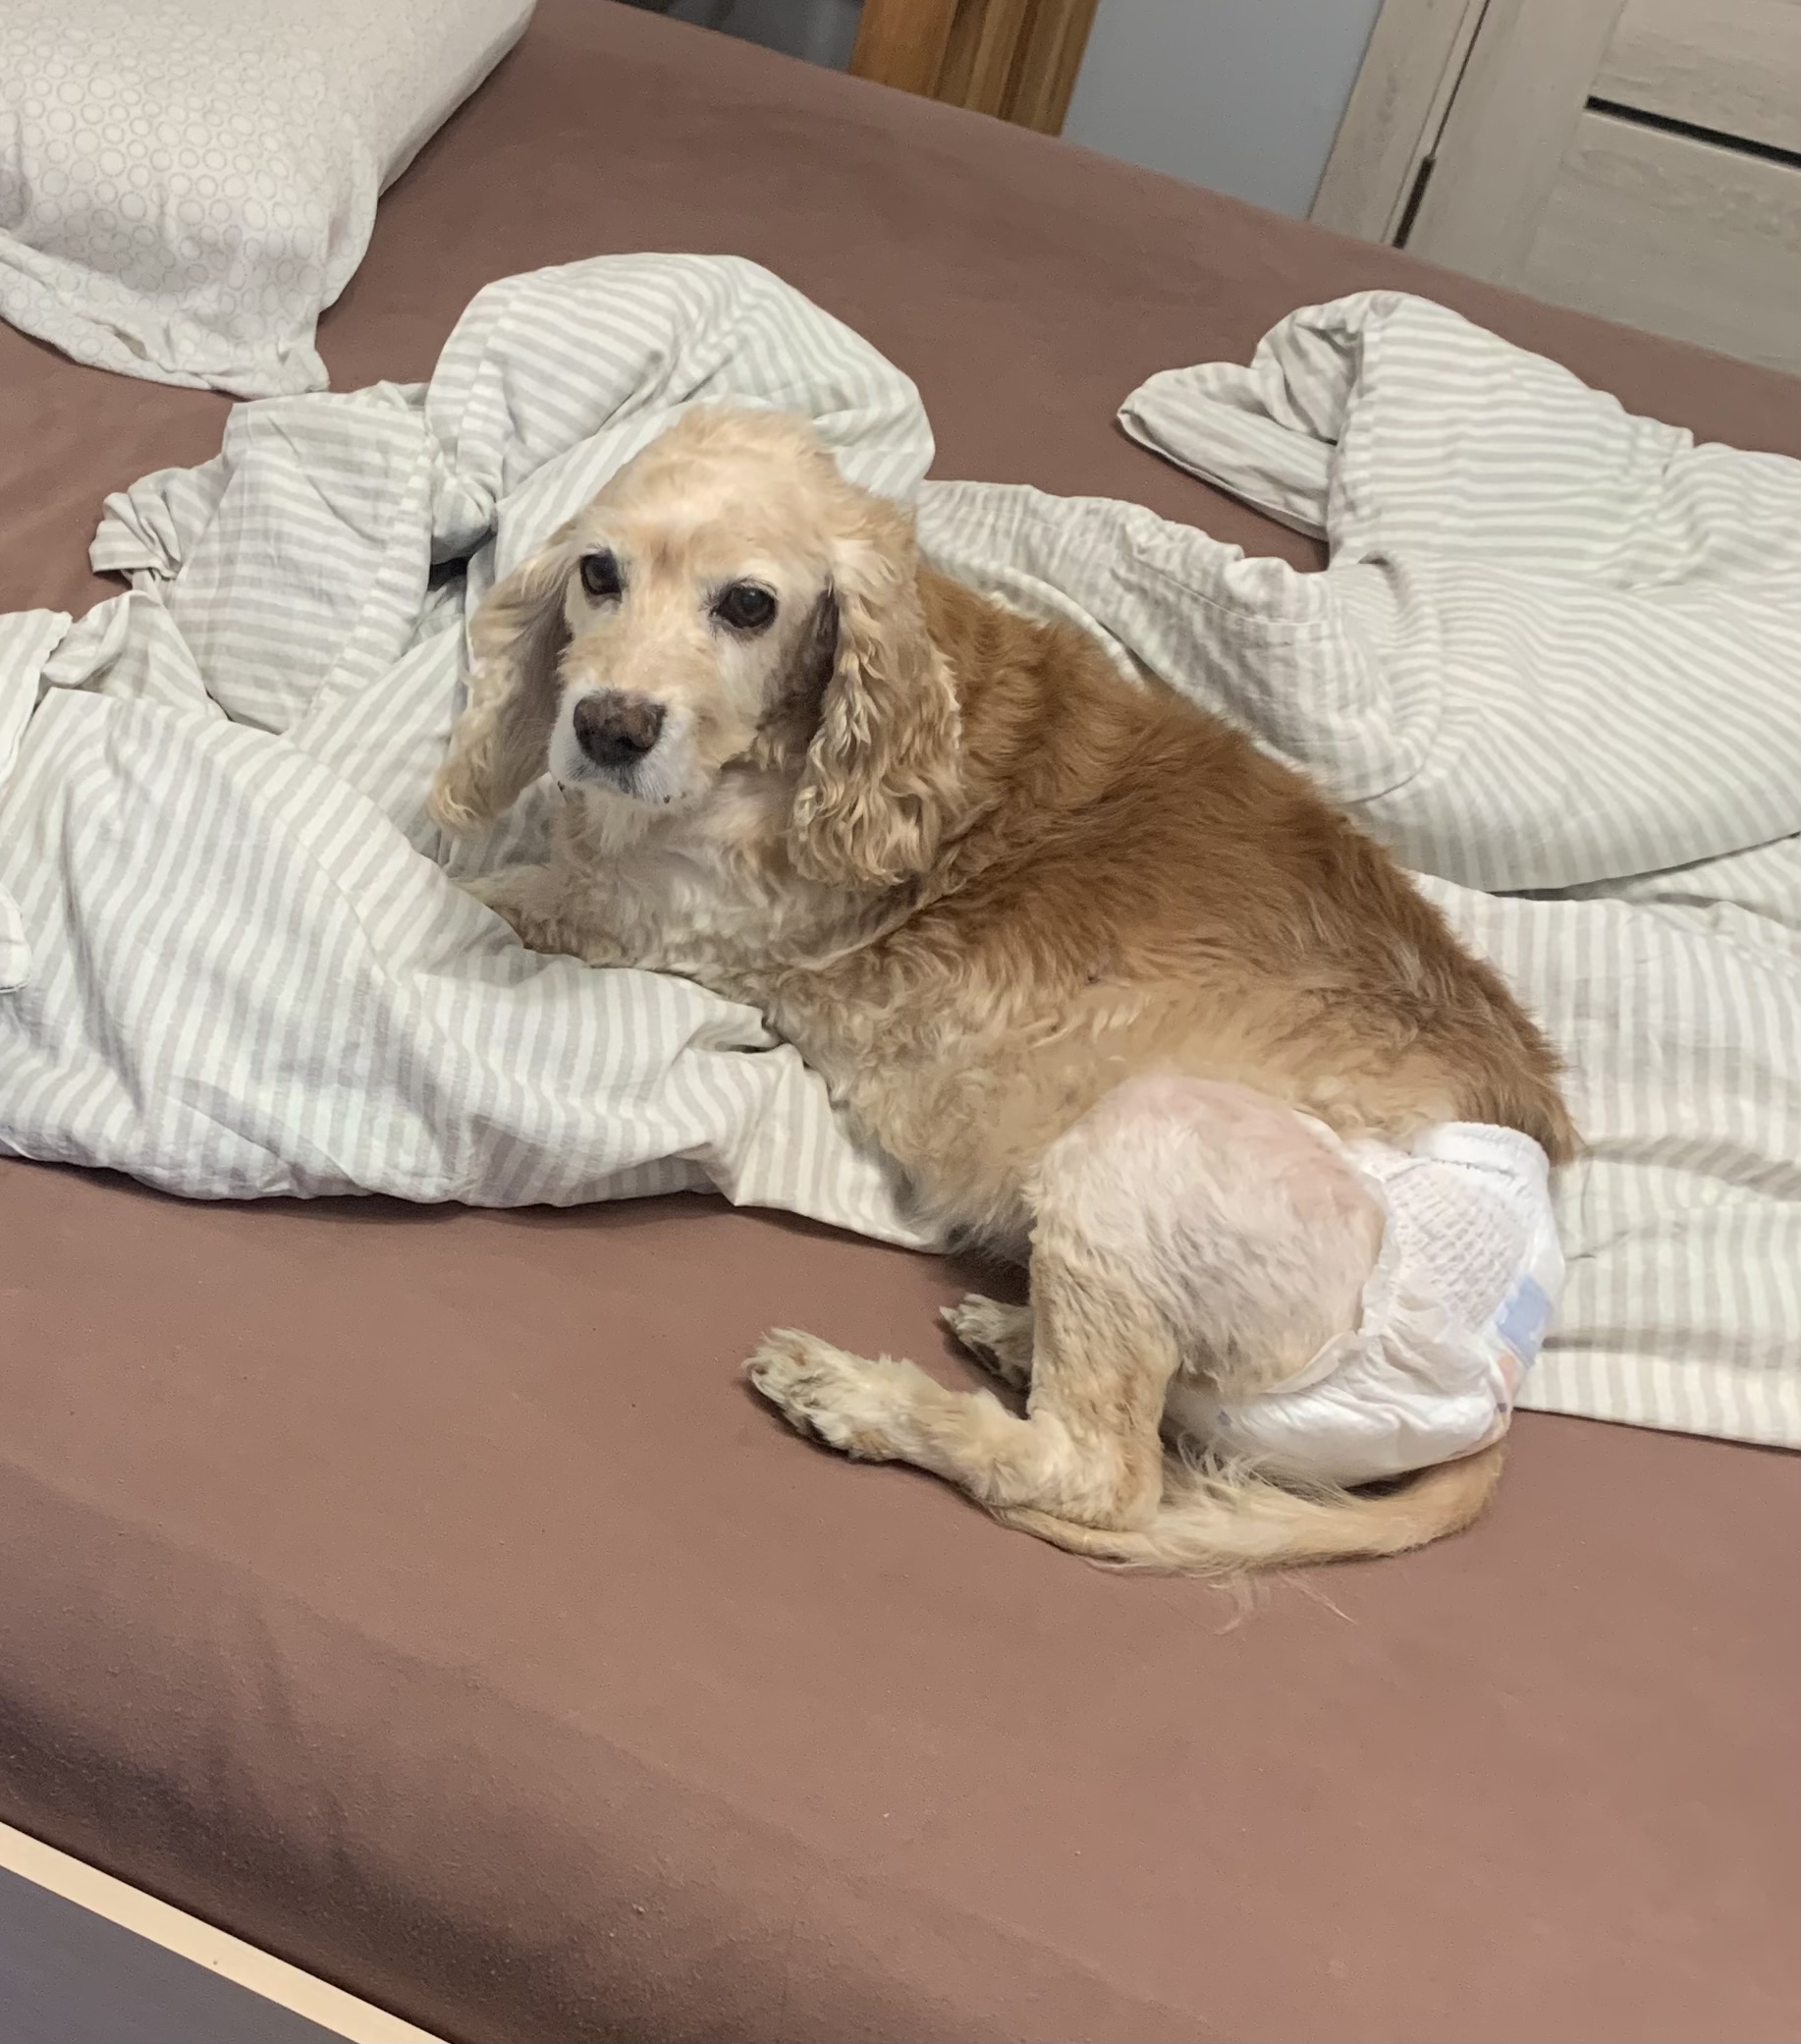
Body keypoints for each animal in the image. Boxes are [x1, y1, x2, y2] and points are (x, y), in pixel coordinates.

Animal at [430, 407, 1576, 1571]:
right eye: (598, 572)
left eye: (749, 604)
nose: (606, 727)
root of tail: (1496, 1379)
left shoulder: (660, 916)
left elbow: (490, 888)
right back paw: (1012, 1332)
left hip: (1138, 1146)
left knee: (1098, 1471)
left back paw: (858, 1393)